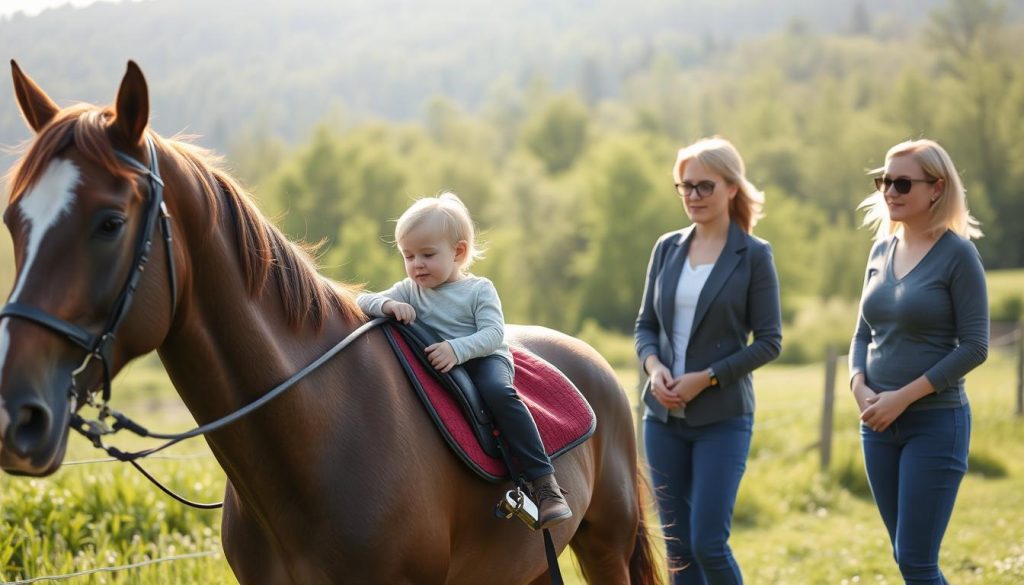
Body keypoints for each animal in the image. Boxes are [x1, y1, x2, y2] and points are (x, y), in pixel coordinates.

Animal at [0, 61, 663, 581]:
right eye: (14, 219)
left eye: (110, 222)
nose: (18, 416)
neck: (318, 433)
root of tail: (591, 363)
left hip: (604, 546)